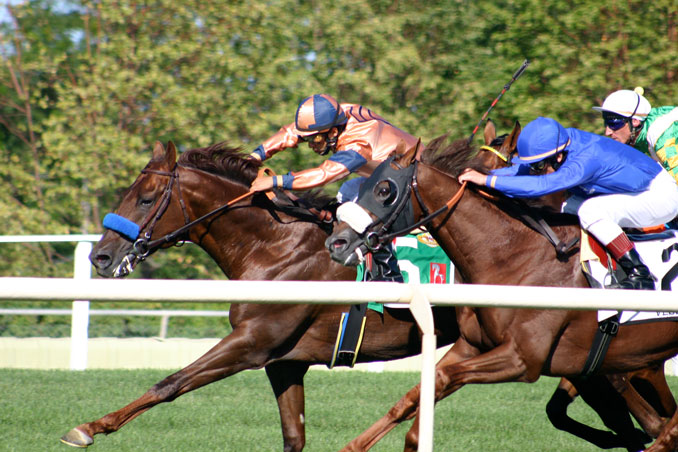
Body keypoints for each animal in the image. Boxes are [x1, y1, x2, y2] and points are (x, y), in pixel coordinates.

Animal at [59, 141, 462, 452]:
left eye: (145, 199)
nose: (101, 257)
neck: (274, 247)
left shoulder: (253, 342)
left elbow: (170, 383)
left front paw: (89, 428)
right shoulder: (284, 362)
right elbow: (293, 436)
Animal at [326, 136, 678, 450]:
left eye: (384, 189)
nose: (336, 243)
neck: (511, 255)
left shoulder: (523, 358)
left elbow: (443, 378)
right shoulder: (471, 344)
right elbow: (418, 392)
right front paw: (355, 446)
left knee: (668, 429)